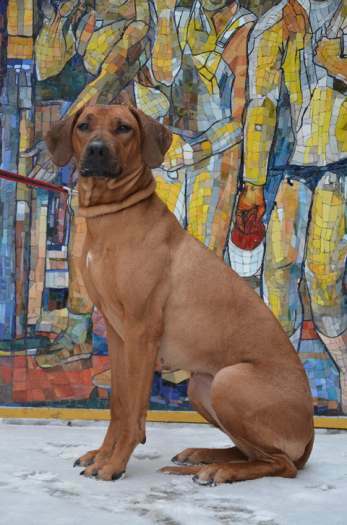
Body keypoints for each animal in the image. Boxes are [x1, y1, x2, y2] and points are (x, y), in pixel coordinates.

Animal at [45, 104, 316, 486]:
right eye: (84, 125)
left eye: (124, 128)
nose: (97, 150)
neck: (114, 215)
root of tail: (309, 437)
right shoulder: (117, 334)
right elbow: (119, 406)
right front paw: (101, 455)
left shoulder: (142, 333)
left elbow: (133, 412)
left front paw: (114, 465)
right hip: (201, 386)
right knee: (253, 452)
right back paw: (202, 456)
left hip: (230, 380)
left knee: (280, 463)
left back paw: (219, 470)